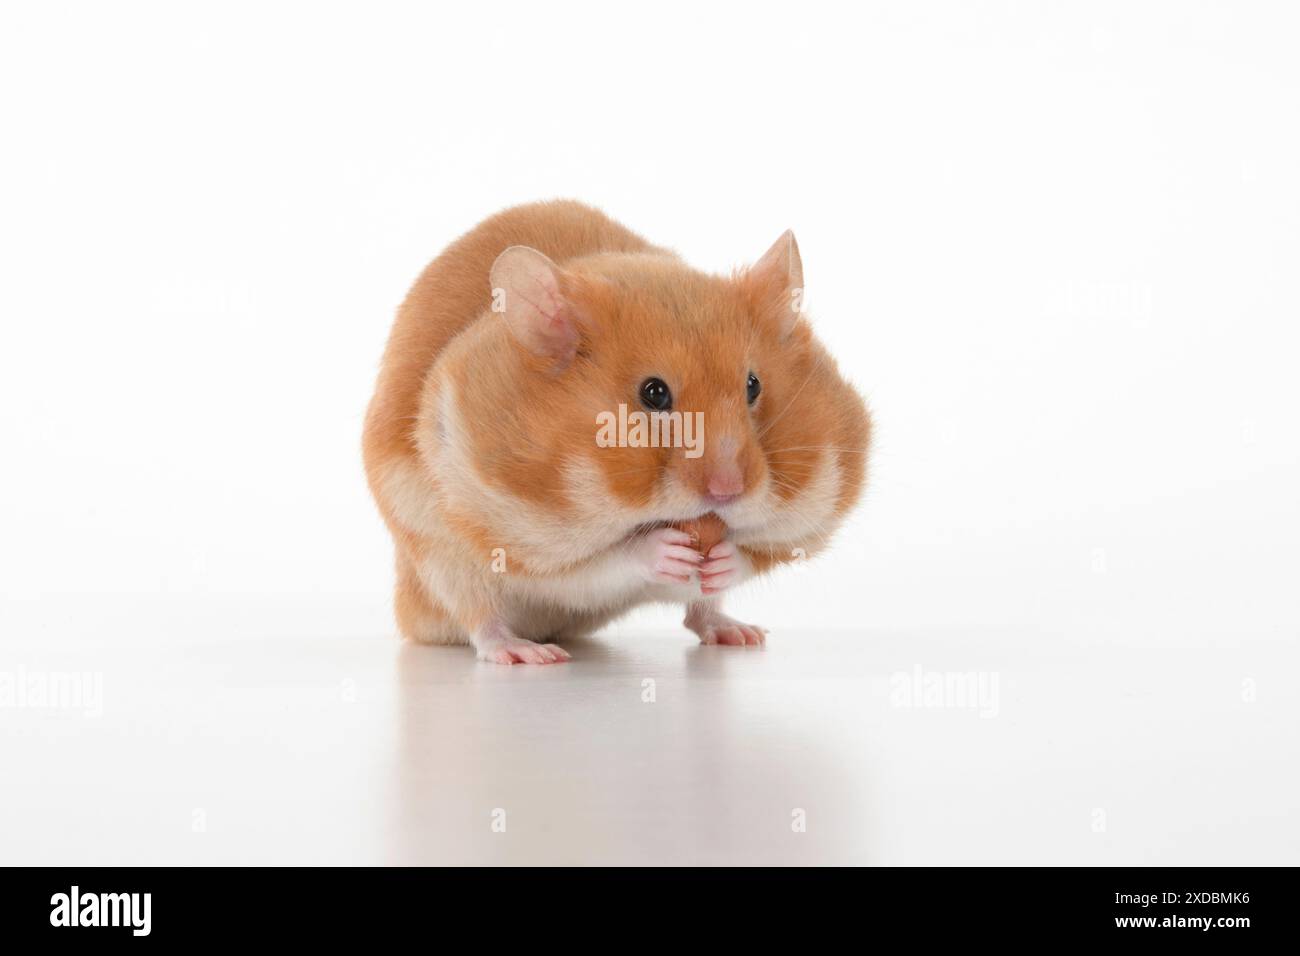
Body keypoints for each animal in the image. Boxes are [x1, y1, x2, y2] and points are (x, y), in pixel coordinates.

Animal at [364, 201, 873, 665]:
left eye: (753, 385)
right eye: (654, 393)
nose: (727, 491)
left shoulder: (809, 517)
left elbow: (756, 550)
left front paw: (724, 556)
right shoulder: (520, 537)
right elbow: (604, 561)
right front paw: (664, 549)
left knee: (701, 612)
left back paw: (743, 634)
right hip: (441, 562)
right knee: (481, 620)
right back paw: (530, 653)